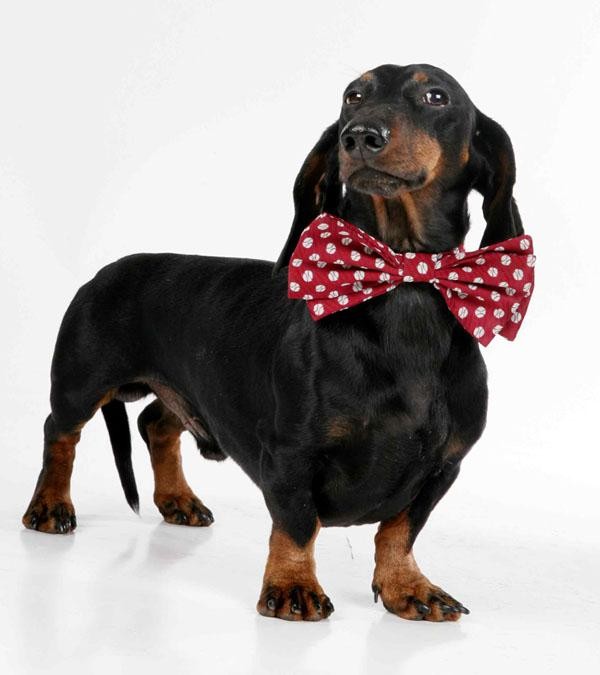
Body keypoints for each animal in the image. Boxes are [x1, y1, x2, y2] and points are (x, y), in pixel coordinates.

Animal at [23, 63, 526, 622]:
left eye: (436, 97)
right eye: (353, 96)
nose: (360, 137)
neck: (401, 284)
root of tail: (106, 269)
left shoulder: (443, 466)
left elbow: (400, 532)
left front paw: (407, 587)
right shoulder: (290, 453)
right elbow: (297, 523)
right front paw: (292, 586)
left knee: (156, 423)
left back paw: (178, 500)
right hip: (80, 382)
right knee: (59, 433)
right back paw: (49, 506)